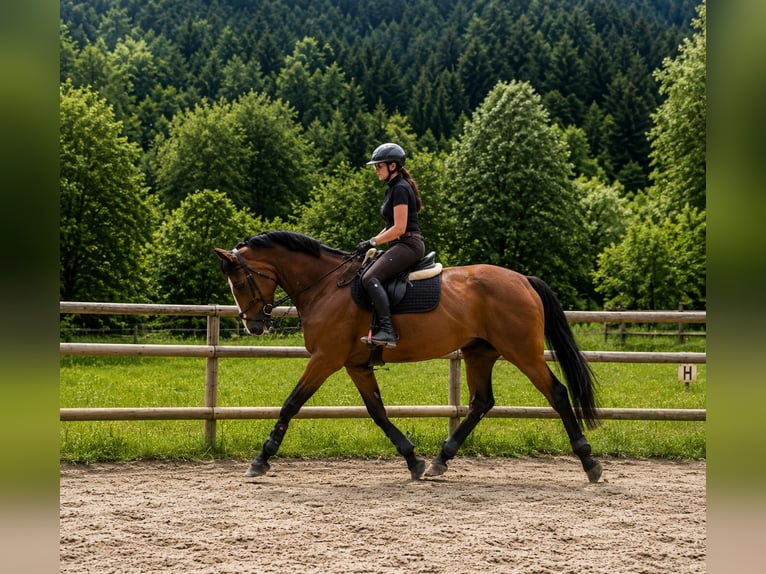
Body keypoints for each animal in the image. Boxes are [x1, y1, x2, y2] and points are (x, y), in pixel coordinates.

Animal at [214, 230, 602, 483]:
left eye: (241, 283)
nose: (253, 325)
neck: (325, 286)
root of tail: (523, 280)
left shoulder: (325, 359)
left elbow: (291, 404)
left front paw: (261, 459)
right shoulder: (355, 364)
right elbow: (378, 411)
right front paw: (413, 460)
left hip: (522, 351)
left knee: (557, 393)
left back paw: (589, 462)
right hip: (479, 352)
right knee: (481, 402)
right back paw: (440, 461)